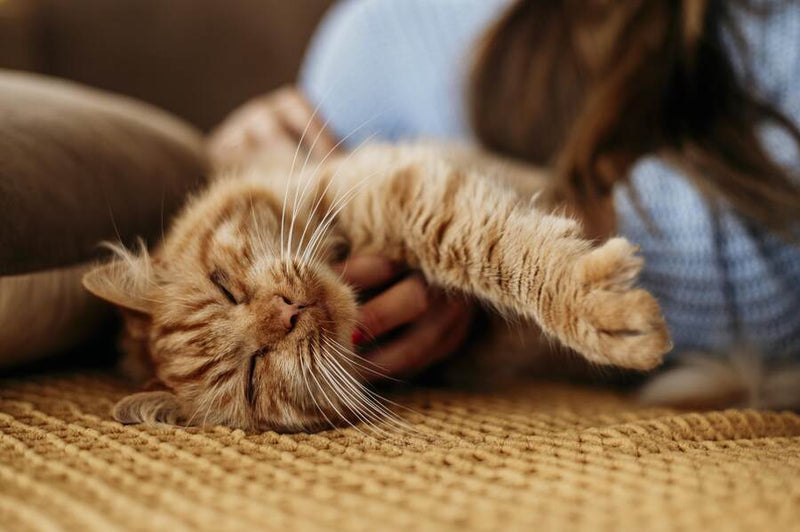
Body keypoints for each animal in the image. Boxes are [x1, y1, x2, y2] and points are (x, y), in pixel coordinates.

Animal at [83, 142, 668, 432]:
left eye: (225, 287)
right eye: (252, 375)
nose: (287, 311)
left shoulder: (393, 189)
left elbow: (496, 247)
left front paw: (595, 309)